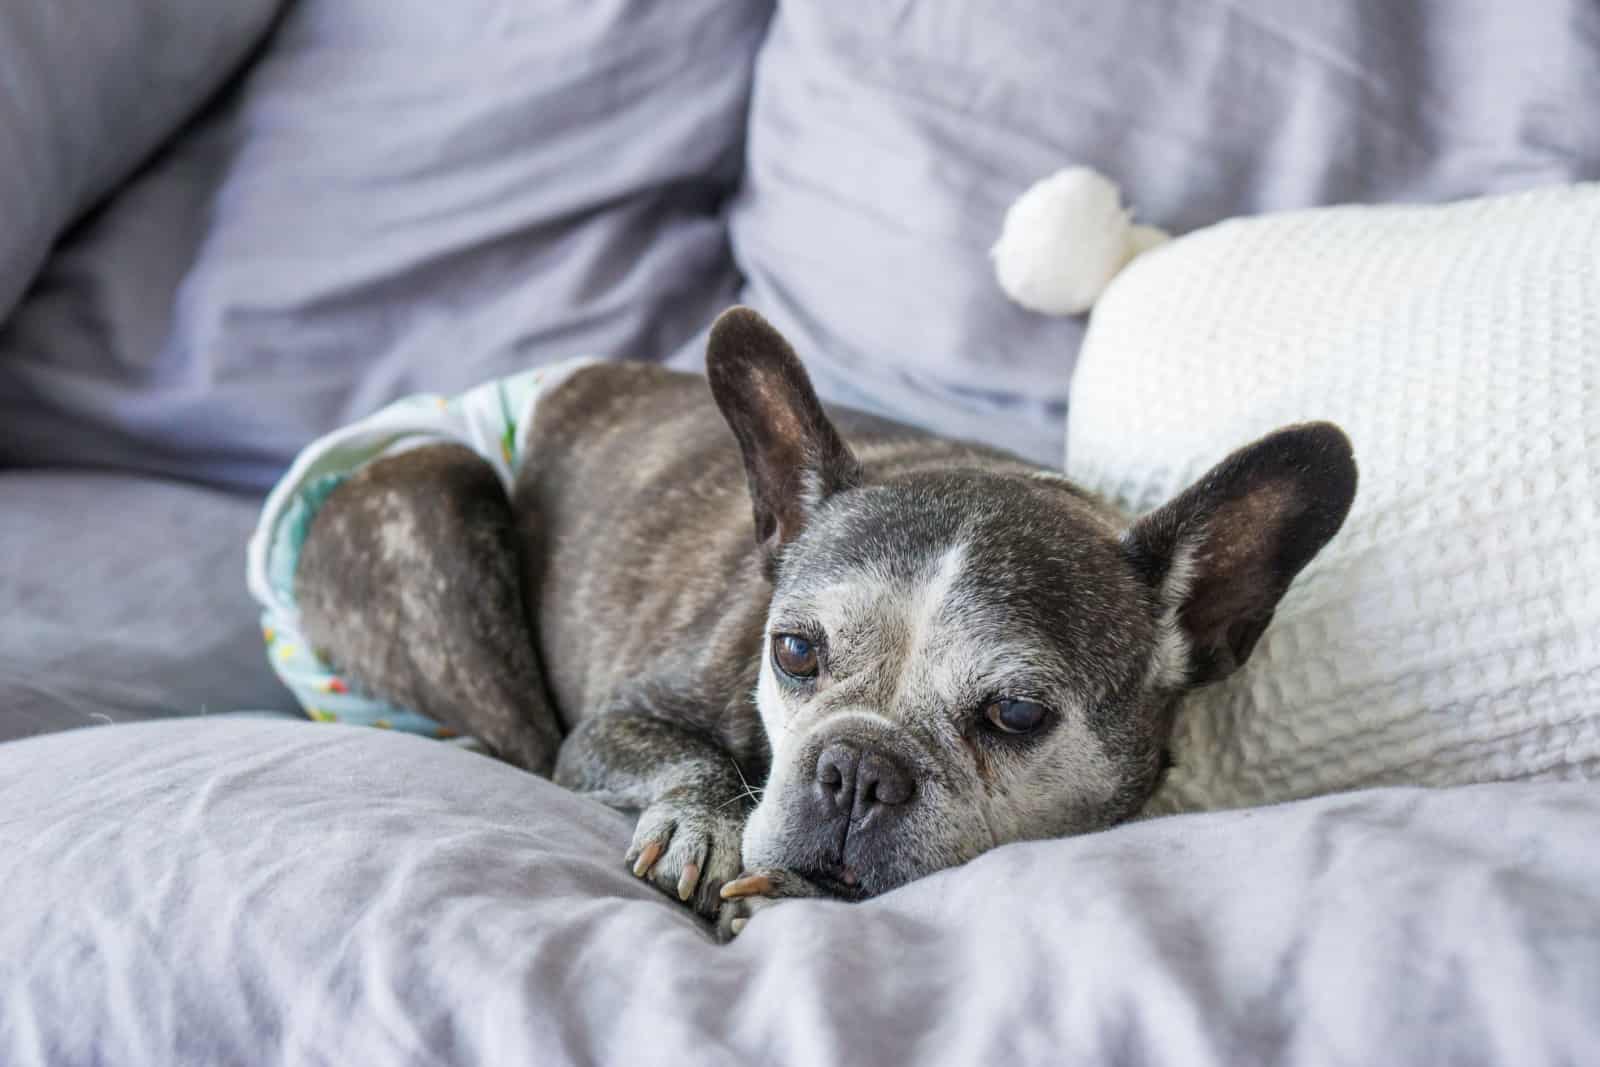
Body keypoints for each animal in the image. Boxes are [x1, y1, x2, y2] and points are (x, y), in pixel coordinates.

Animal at [294, 303, 1356, 940]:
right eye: (794, 651)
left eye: (1017, 714)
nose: (856, 769)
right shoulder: (616, 720)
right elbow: (684, 757)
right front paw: (706, 827)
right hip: (441, 495)